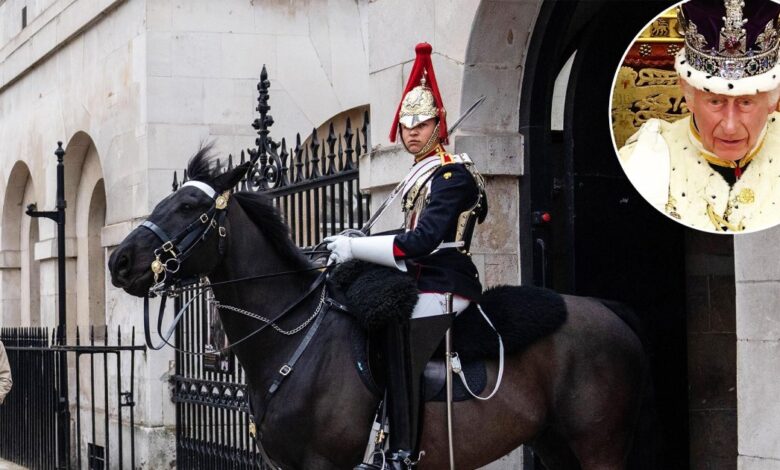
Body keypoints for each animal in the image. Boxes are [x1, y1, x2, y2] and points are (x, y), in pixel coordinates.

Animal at [109, 151, 644, 470]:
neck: (289, 338)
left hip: (598, 446)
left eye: (188, 209)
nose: (119, 262)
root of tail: (606, 309)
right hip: (555, 444)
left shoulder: (325, 464)